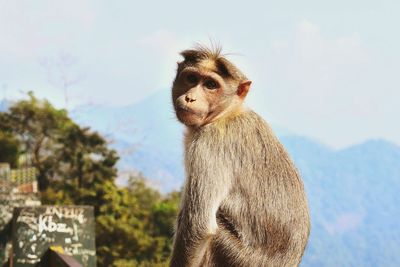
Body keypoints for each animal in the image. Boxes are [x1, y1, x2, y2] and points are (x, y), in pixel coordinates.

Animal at [169, 46, 310, 267]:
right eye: (191, 78)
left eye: (211, 85)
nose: (190, 98)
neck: (225, 114)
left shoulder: (208, 144)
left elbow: (198, 227)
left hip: (239, 259)